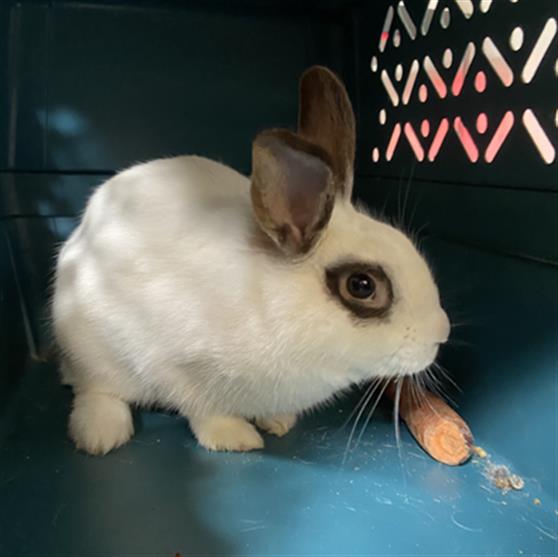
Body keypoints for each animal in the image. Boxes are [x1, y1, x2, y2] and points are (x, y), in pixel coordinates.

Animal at [52, 66, 452, 456]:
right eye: (362, 285)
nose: (442, 333)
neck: (269, 305)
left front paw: (278, 422)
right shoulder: (173, 366)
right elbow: (202, 409)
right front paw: (235, 438)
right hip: (89, 350)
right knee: (93, 388)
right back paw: (101, 436)